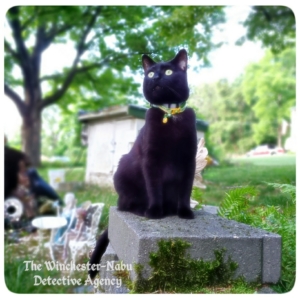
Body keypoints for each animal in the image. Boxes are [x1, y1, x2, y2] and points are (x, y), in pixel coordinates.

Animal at [89, 49, 197, 278]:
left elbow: (186, 189)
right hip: (122, 172)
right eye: (150, 73)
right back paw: (144, 209)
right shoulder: (151, 159)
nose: (155, 78)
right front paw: (155, 211)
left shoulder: (189, 159)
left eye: (168, 72)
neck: (169, 115)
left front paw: (185, 212)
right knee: (125, 205)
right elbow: (154, 187)